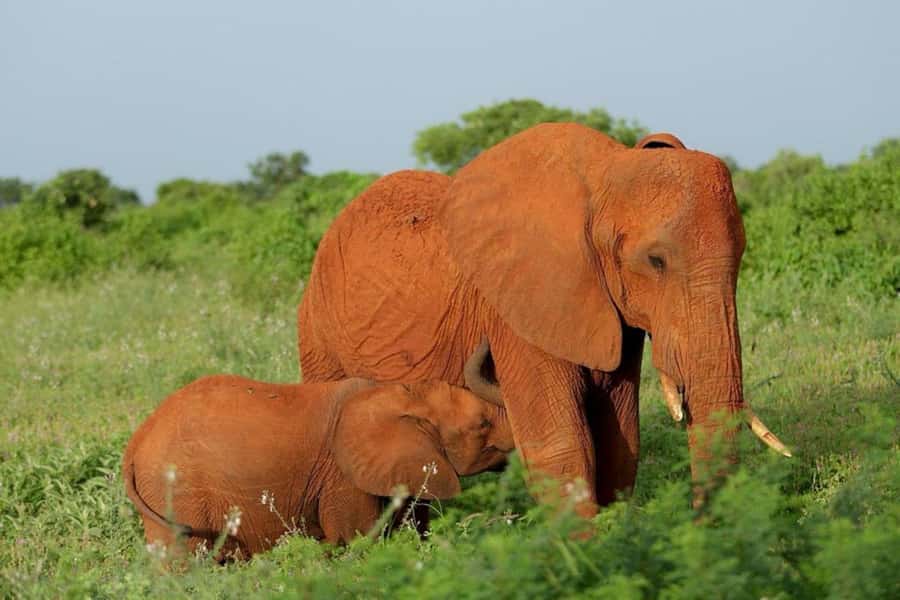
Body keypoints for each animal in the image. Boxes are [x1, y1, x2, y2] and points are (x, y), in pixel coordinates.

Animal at [122, 344, 511, 559]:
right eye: (482, 425)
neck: (399, 392)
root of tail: (137, 441)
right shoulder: (343, 477)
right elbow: (359, 540)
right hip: (176, 492)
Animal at [297, 123, 789, 516]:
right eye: (656, 261)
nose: (700, 522)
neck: (605, 178)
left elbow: (618, 439)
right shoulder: (516, 306)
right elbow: (562, 443)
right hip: (317, 333)